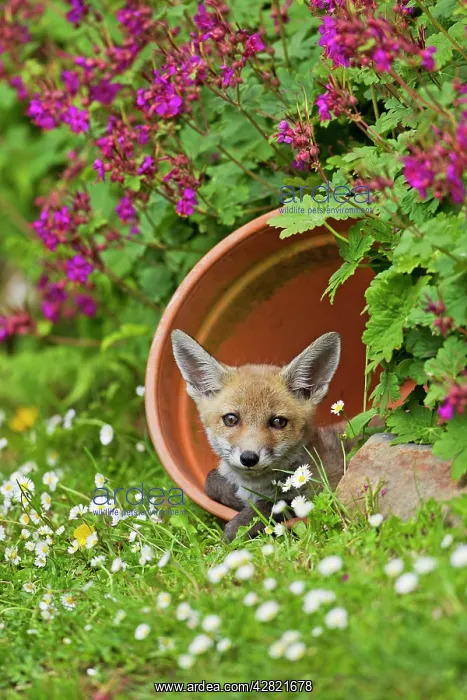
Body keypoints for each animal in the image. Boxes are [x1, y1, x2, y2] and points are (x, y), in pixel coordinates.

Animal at [171, 329, 346, 541]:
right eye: (231, 419)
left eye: (278, 422)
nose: (248, 458)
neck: (254, 485)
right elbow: (210, 481)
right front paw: (234, 499)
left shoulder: (322, 488)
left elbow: (275, 503)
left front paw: (236, 529)